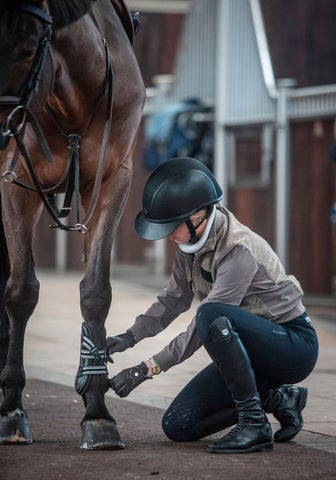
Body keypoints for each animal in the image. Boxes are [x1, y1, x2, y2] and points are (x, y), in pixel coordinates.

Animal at [0, 0, 144, 450]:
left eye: (29, 49)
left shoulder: (114, 181)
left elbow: (96, 292)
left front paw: (97, 412)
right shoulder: (16, 181)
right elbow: (21, 291)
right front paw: (11, 410)